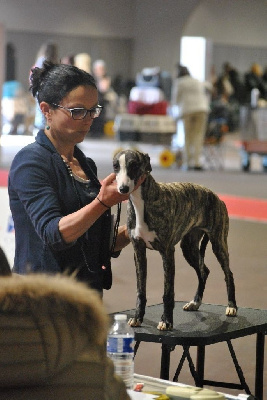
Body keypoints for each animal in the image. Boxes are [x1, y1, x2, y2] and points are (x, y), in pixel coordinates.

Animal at [113, 148, 239, 330]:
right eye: (116, 166)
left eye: (134, 165)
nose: (122, 189)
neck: (142, 204)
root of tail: (216, 196)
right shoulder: (139, 251)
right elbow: (140, 290)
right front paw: (137, 317)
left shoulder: (167, 252)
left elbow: (168, 292)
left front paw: (166, 321)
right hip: (189, 247)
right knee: (204, 271)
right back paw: (195, 302)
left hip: (218, 243)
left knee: (228, 273)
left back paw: (231, 306)